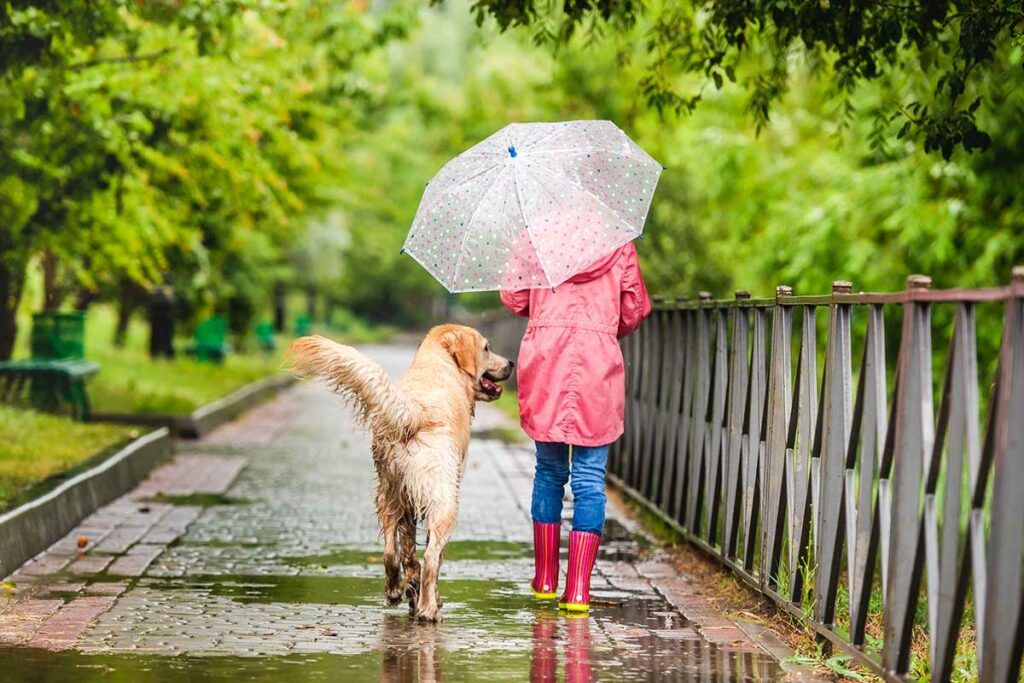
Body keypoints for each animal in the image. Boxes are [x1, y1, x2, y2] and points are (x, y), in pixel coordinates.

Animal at [286, 327, 512, 626]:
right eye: (487, 348)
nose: (511, 363)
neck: (439, 363)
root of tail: (418, 411)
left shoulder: (409, 502)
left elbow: (407, 551)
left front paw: (410, 588)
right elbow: (431, 558)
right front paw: (427, 597)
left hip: (389, 492)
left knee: (390, 552)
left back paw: (396, 591)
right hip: (444, 501)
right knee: (431, 558)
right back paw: (429, 610)